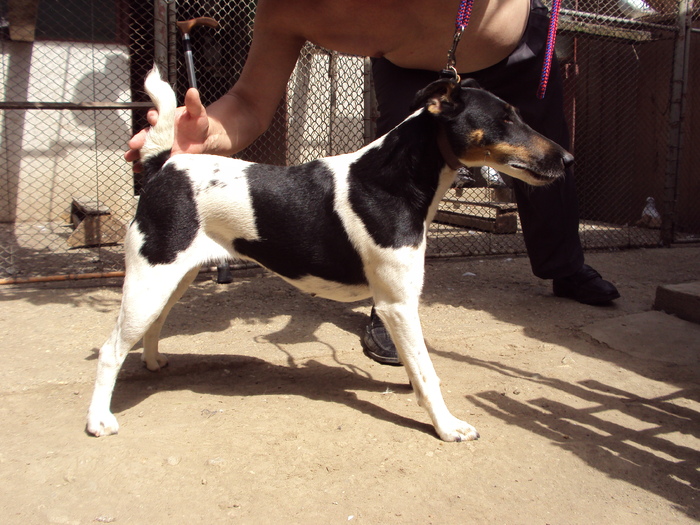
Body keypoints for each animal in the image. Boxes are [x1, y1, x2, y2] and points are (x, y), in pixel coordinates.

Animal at [87, 67, 572, 440]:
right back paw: (98, 421)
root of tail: (164, 164)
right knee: (111, 349)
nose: (568, 159)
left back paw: (154, 362)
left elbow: (417, 365)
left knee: (152, 327)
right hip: (150, 279)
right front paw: (447, 426)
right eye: (505, 119)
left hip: (172, 277)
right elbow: (426, 371)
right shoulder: (398, 305)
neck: (393, 178)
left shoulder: (398, 305)